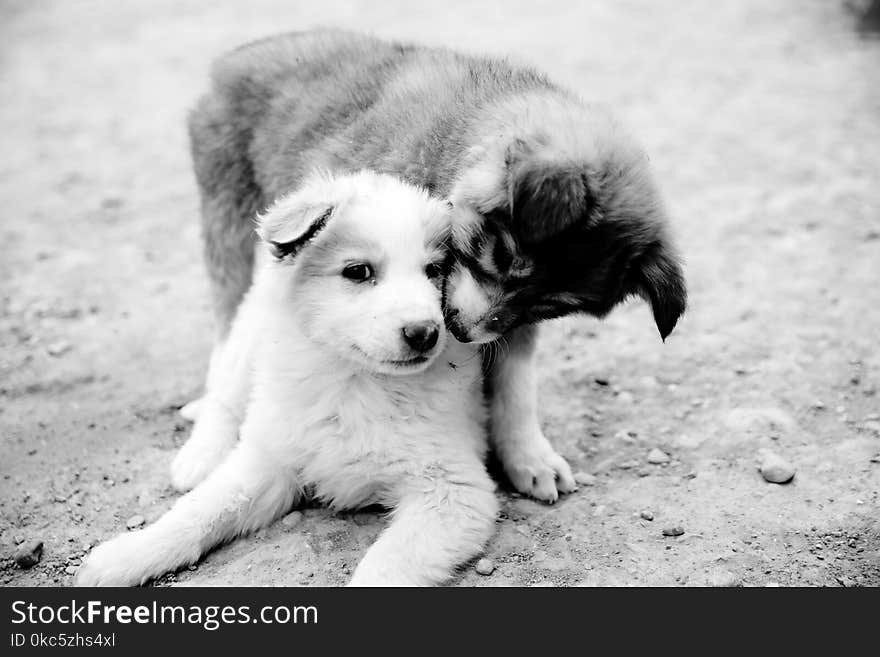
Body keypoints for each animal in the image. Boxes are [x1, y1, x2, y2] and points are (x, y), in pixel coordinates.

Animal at [77, 172, 496, 588]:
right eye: (358, 271)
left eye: (434, 270)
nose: (424, 333)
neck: (355, 383)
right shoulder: (272, 459)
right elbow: (200, 510)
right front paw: (125, 555)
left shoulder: (452, 490)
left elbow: (387, 564)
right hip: (247, 341)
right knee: (224, 397)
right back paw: (199, 457)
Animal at [189, 29, 688, 502]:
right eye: (502, 255)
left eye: (549, 307)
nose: (461, 332)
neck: (453, 156)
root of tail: (237, 56)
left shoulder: (508, 326)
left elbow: (515, 385)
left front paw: (528, 457)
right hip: (228, 223)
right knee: (228, 326)